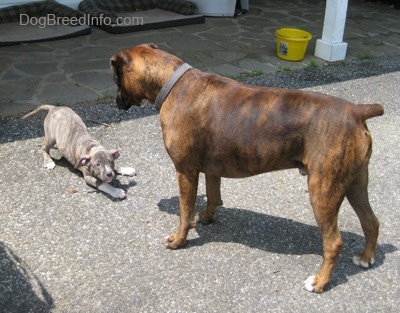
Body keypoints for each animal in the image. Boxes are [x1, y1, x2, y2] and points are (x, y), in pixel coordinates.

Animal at [110, 42, 384, 292]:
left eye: (115, 78)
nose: (115, 101)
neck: (172, 82)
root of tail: (356, 111)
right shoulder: (211, 170)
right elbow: (213, 195)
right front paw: (207, 217)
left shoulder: (185, 171)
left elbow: (184, 210)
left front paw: (179, 239)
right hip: (355, 183)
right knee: (371, 221)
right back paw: (366, 258)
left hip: (323, 191)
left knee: (334, 242)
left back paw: (319, 282)